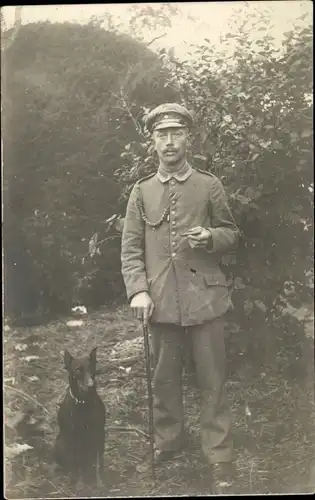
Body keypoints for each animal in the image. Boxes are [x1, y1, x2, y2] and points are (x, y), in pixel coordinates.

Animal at [52, 346, 105, 482]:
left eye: (92, 367)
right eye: (78, 370)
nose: (91, 385)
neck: (84, 402)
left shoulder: (100, 433)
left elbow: (100, 462)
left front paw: (101, 479)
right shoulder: (72, 436)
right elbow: (74, 464)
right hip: (60, 442)